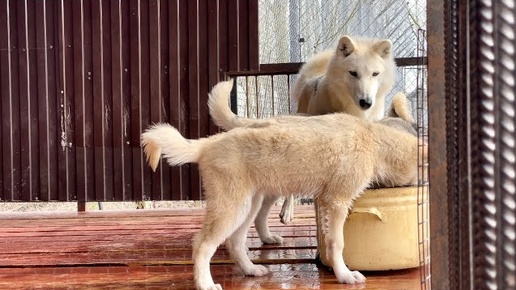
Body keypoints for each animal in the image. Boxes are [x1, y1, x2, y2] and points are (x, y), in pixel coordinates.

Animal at [140, 80, 424, 290]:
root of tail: (207, 143)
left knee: (235, 242)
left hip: (248, 205)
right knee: (202, 244)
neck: (372, 138)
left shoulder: (327, 200)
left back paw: (251, 270)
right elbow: (337, 243)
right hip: (231, 206)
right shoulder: (337, 201)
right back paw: (205, 284)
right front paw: (345, 275)